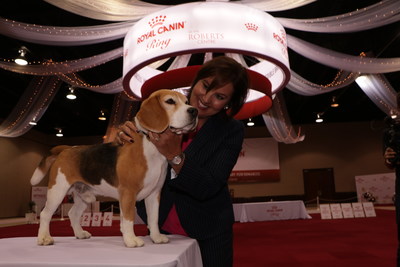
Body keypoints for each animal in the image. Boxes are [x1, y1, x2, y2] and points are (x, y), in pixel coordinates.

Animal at [28, 90, 198, 249]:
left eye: (186, 102)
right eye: (170, 101)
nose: (194, 110)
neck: (152, 146)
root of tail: (66, 149)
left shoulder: (154, 194)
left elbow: (153, 219)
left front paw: (156, 237)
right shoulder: (128, 193)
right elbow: (128, 219)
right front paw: (131, 240)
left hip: (84, 195)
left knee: (72, 213)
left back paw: (80, 234)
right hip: (57, 191)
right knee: (45, 214)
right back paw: (44, 238)